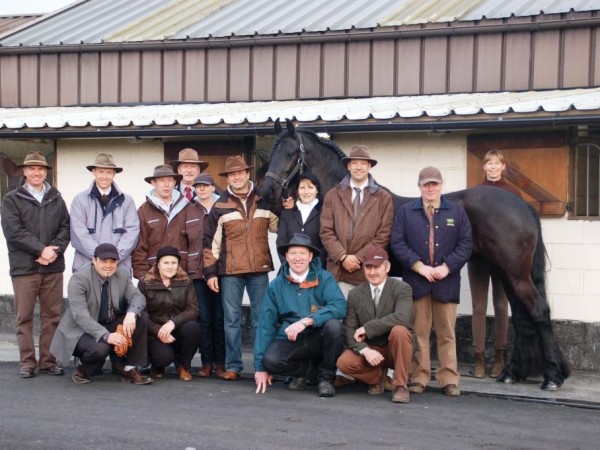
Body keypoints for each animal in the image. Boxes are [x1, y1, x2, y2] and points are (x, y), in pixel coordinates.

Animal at [264, 118, 572, 390]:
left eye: (290, 153)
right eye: (271, 152)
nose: (268, 192)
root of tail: (522, 205)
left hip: (514, 273)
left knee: (538, 312)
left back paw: (551, 378)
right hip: (507, 273)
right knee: (522, 317)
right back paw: (513, 373)